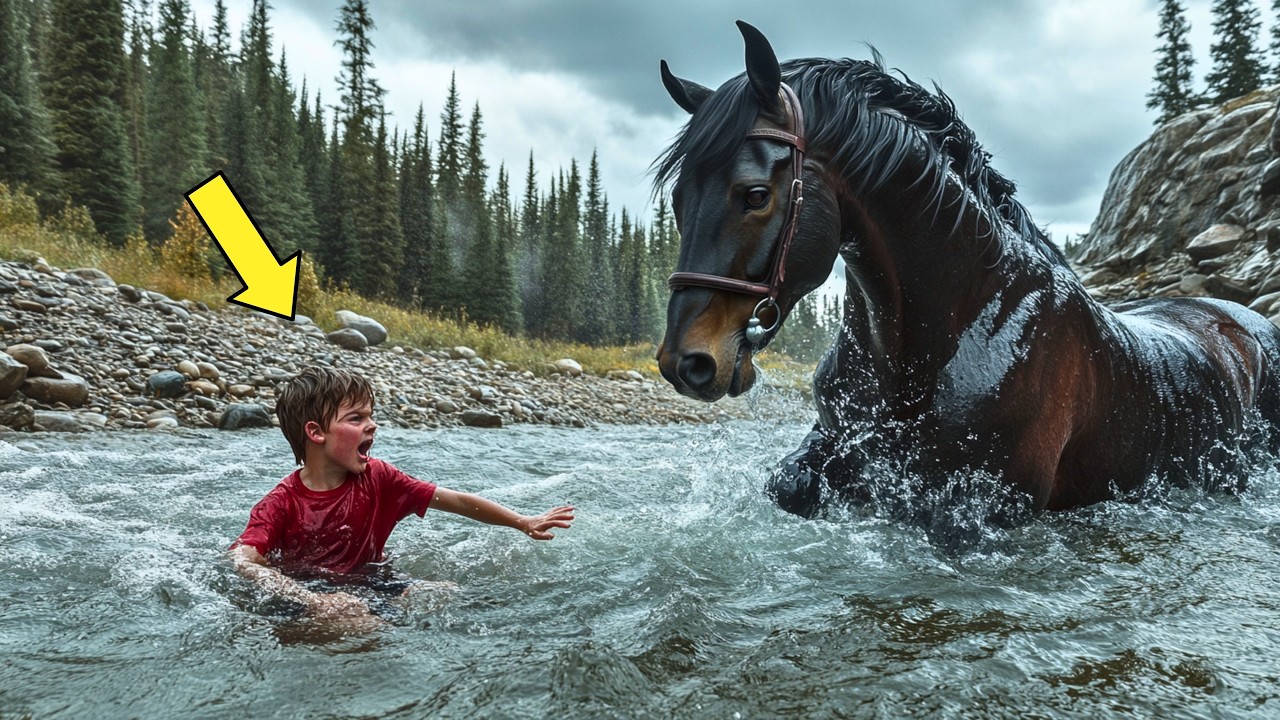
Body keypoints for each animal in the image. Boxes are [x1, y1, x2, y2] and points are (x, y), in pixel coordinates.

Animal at [654, 21, 1280, 526]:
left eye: (755, 195)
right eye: (678, 200)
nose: (686, 362)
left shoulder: (984, 502)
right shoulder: (828, 447)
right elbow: (787, 486)